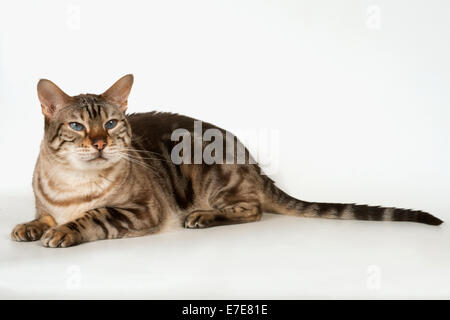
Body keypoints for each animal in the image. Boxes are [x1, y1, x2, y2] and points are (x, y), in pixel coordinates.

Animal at [9, 74, 442, 248]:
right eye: (78, 126)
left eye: (112, 124)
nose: (99, 142)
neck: (72, 184)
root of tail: (253, 161)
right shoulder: (46, 203)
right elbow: (41, 216)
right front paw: (29, 227)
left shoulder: (139, 210)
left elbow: (91, 216)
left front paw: (64, 231)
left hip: (210, 174)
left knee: (251, 210)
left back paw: (202, 216)